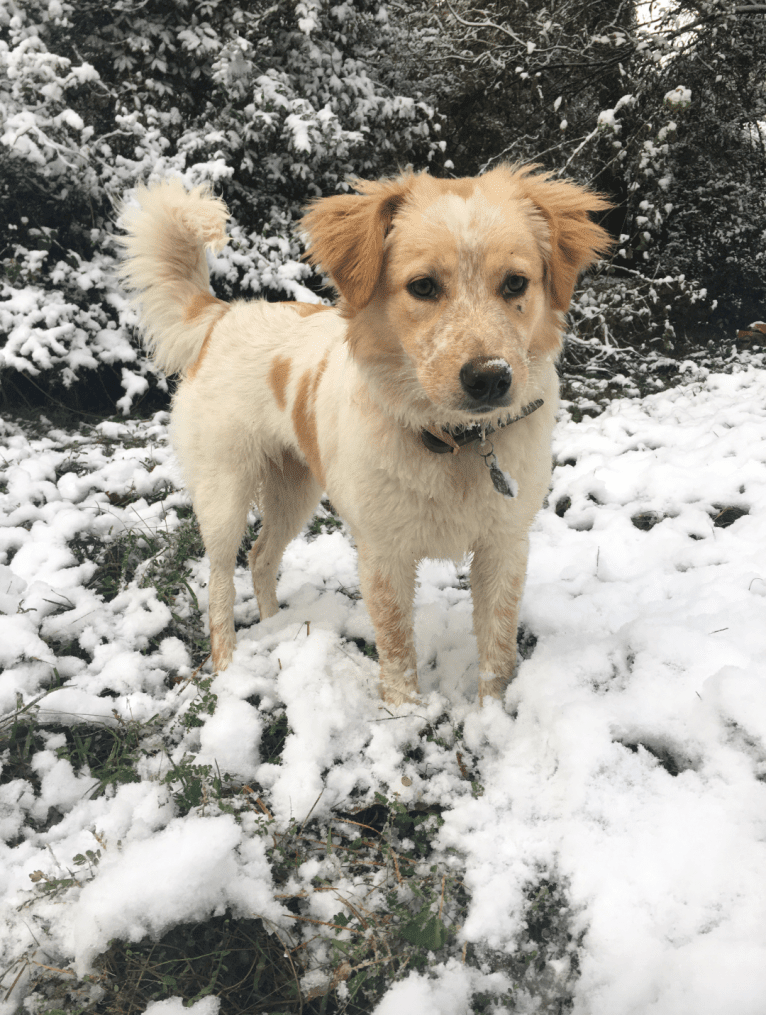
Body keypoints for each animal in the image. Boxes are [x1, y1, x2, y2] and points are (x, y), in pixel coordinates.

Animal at [119, 166, 612, 706]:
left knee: (262, 556)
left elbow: (497, 652)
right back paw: (227, 663)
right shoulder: (383, 552)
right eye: (423, 286)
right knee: (220, 578)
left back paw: (276, 628)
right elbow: (396, 647)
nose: (490, 378)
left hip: (294, 490)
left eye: (516, 283)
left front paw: (493, 714)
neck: (451, 441)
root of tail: (223, 315)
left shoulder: (504, 546)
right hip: (224, 491)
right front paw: (406, 714)